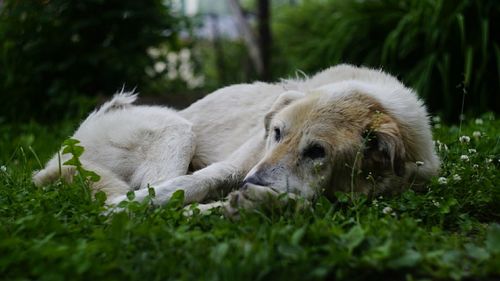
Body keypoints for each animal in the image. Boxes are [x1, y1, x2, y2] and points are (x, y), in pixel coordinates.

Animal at [33, 64, 440, 213]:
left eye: (316, 151)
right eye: (277, 133)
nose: (249, 183)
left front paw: (251, 204)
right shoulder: (238, 165)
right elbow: (188, 186)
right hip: (178, 128)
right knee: (153, 182)